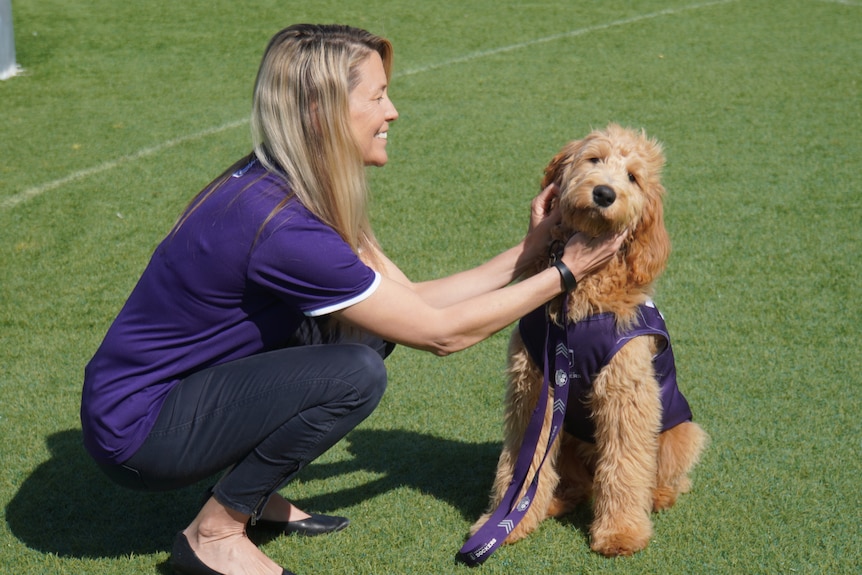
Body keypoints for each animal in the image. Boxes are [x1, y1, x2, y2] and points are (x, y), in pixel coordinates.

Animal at [472, 125, 708, 560]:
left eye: (633, 177)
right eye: (594, 159)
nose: (604, 193)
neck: (576, 307)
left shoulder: (624, 393)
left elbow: (625, 466)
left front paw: (621, 533)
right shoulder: (533, 385)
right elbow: (522, 461)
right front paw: (506, 521)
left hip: (680, 433)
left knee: (661, 475)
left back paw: (657, 497)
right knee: (573, 480)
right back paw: (556, 498)